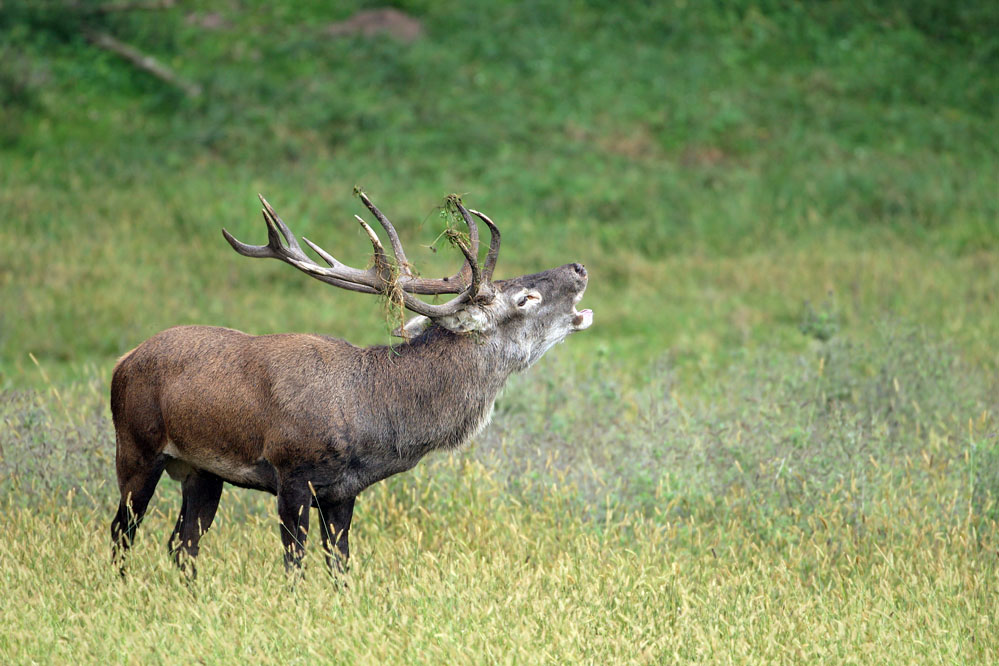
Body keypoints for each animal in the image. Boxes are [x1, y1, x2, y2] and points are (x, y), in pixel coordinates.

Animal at [110, 191, 593, 575]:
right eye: (524, 298)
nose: (579, 267)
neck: (371, 414)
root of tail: (122, 361)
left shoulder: (342, 492)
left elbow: (340, 565)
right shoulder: (291, 472)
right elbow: (294, 562)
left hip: (202, 471)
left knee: (182, 544)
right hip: (135, 447)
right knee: (121, 532)